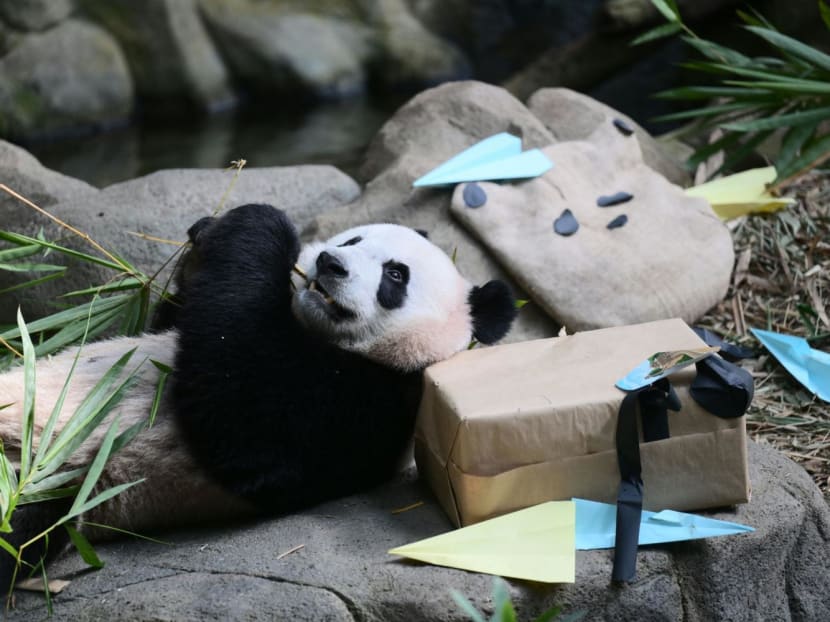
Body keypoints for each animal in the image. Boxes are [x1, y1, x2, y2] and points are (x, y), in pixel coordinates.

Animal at [0, 204, 517, 588]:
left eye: (395, 276)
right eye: (354, 241)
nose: (330, 264)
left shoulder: (368, 406)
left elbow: (247, 421)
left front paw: (263, 224)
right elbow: (181, 318)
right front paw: (205, 236)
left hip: (55, 484)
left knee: (21, 529)